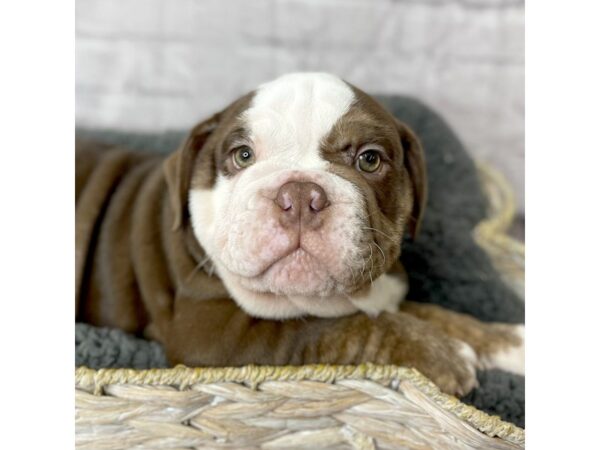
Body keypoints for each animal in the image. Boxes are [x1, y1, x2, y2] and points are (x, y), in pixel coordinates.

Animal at [76, 72, 524, 396]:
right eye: (242, 155)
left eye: (369, 159)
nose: (301, 195)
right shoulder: (217, 335)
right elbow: (336, 328)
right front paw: (440, 354)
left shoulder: (386, 290)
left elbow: (429, 312)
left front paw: (504, 340)